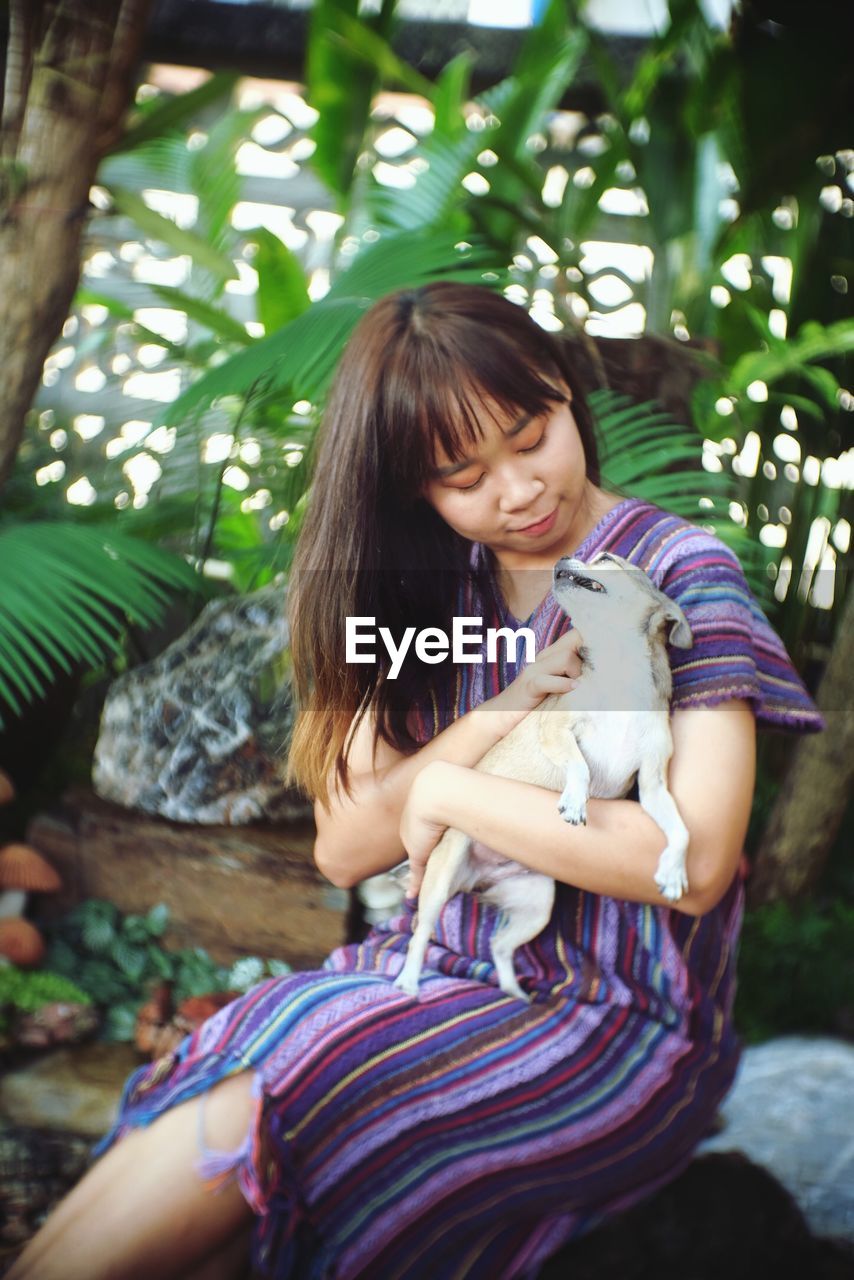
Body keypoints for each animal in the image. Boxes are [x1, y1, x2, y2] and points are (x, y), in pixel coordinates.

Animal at [394, 555, 696, 1003]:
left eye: (606, 560)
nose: (564, 558)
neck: (620, 679)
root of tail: (480, 880)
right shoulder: (554, 731)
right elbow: (580, 765)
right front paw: (576, 800)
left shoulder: (653, 783)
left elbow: (680, 829)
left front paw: (673, 871)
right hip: (441, 881)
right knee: (420, 933)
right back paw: (410, 980)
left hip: (537, 905)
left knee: (500, 945)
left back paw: (512, 990)